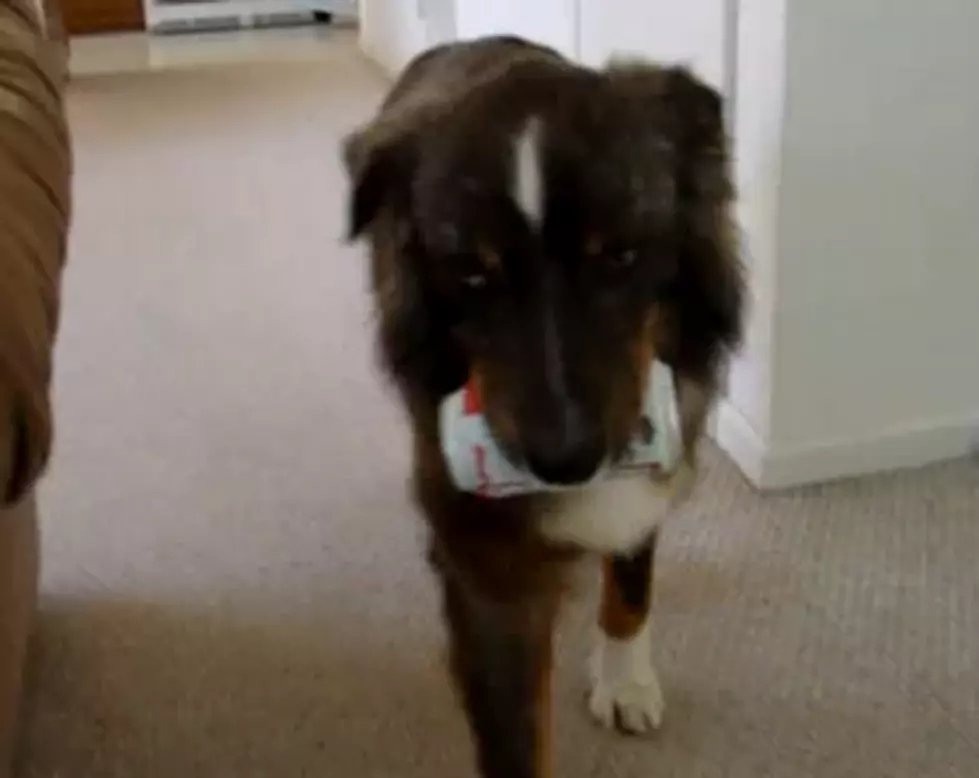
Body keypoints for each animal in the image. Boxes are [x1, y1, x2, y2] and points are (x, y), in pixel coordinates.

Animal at [342, 34, 744, 776]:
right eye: (471, 272)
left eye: (621, 255)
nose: (565, 461)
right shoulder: (489, 570)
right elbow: (515, 734)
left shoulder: (651, 469)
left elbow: (631, 583)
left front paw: (624, 681)